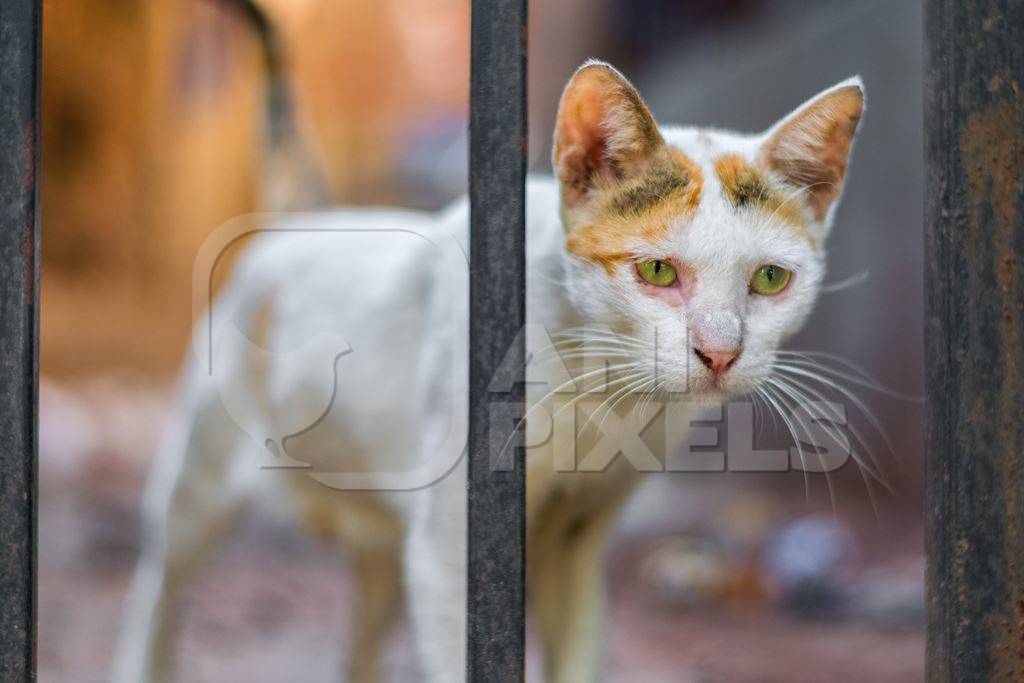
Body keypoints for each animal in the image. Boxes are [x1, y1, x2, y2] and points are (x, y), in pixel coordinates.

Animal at [112, 61, 864, 679]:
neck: (597, 396)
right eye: (657, 271)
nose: (720, 351)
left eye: (770, 279)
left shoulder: (576, 543)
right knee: (158, 585)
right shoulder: (450, 549)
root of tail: (302, 225)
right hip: (198, 480)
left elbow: (578, 653)